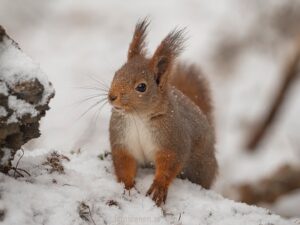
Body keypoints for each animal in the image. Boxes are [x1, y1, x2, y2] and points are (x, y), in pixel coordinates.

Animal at [108, 18, 218, 206]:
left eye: (141, 87)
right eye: (116, 74)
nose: (111, 96)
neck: (138, 117)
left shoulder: (173, 139)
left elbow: (169, 164)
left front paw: (158, 187)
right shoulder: (122, 141)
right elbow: (124, 163)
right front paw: (127, 186)